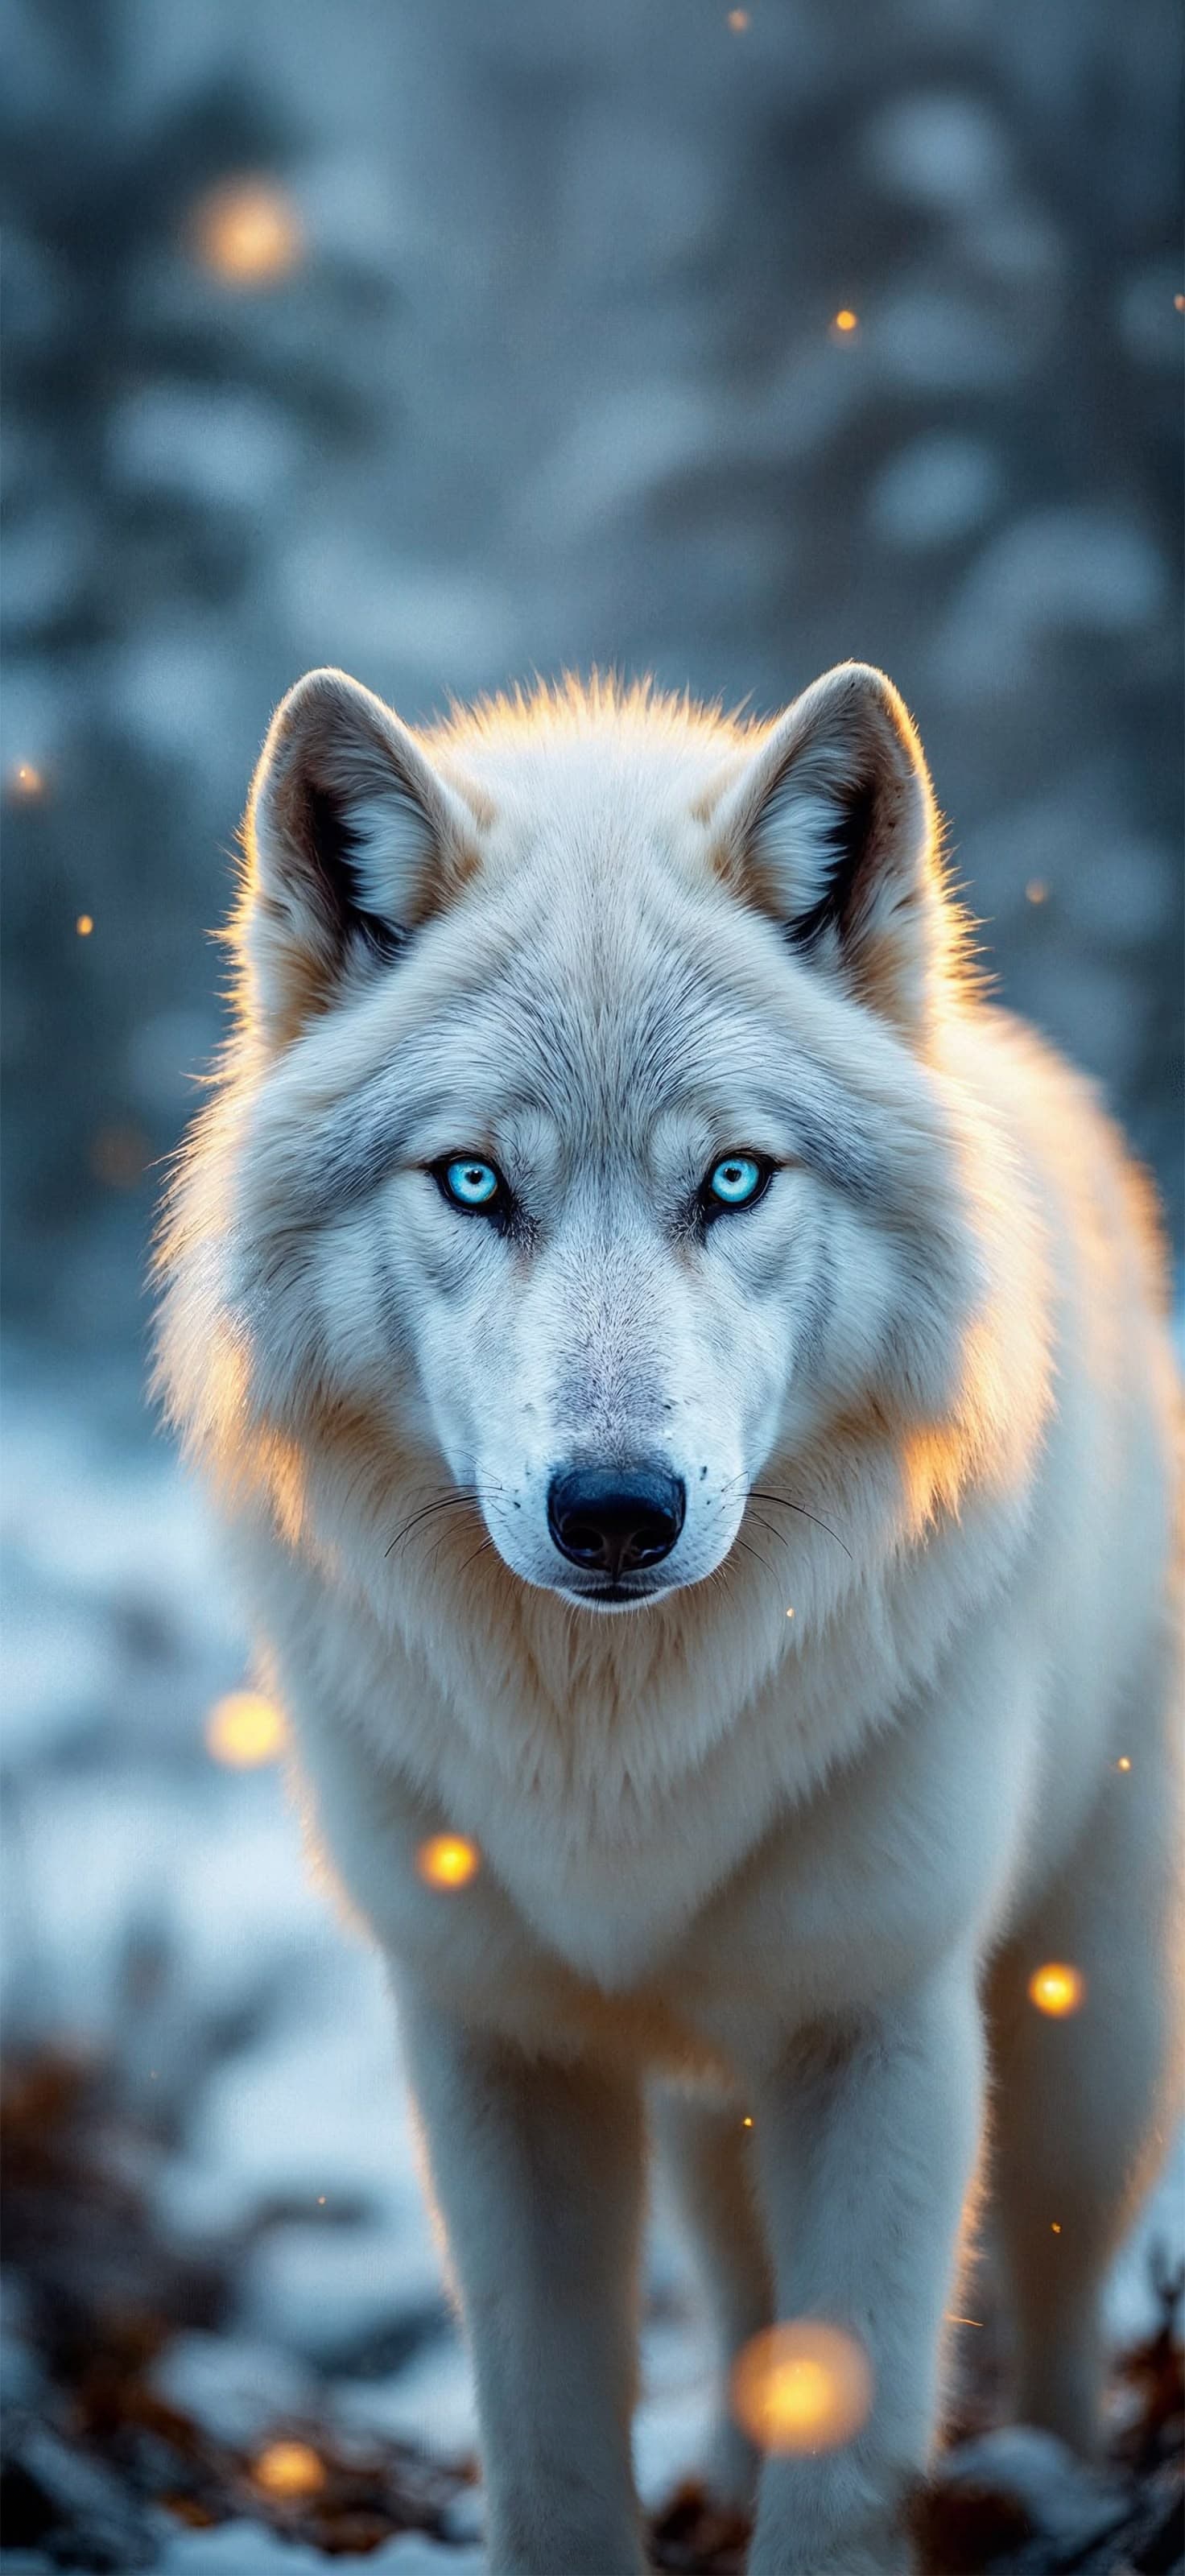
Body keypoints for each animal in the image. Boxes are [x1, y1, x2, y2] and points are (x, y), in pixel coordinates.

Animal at [156, 660, 1182, 2576]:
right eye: (473, 1182)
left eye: (733, 1180)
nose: (616, 1510)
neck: (618, 1752)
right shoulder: (488, 2040)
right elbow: (550, 2434)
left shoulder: (885, 2025)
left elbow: (852, 2446)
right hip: (720, 2092)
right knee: (737, 2291)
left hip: (1084, 2029)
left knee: (1058, 2298)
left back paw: (1060, 2482)